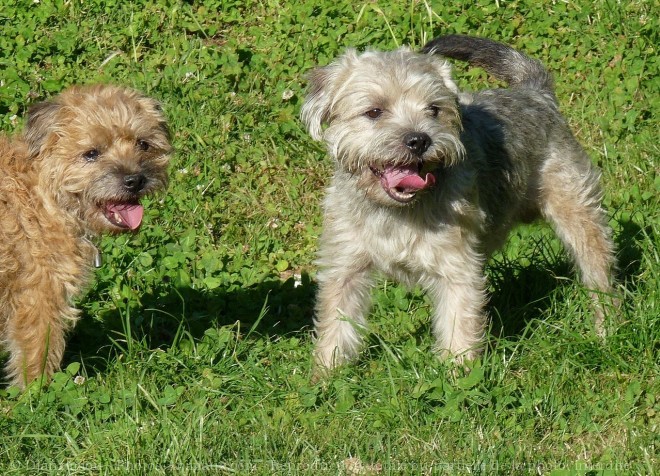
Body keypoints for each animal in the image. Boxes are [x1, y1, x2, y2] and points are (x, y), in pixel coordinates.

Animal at [0, 84, 170, 386]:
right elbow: (37, 353)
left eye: (143, 144)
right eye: (91, 153)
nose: (134, 179)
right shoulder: (39, 296)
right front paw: (37, 393)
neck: (45, 197)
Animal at [302, 35, 616, 374]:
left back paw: (606, 330)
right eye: (374, 111)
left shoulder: (457, 267)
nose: (419, 139)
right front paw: (326, 374)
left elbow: (458, 325)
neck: (396, 213)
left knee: (598, 273)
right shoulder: (345, 265)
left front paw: (457, 374)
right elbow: (337, 321)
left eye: (434, 109)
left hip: (578, 212)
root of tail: (536, 93)